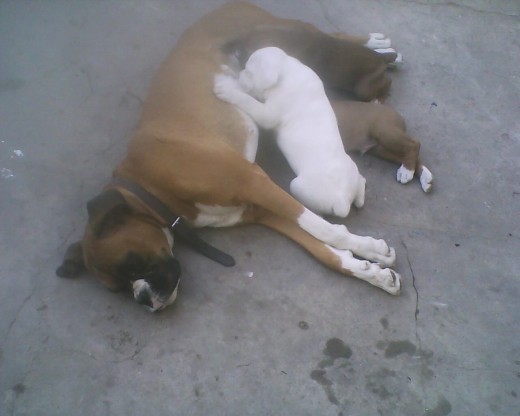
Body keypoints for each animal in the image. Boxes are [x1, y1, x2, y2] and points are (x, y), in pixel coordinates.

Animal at [213, 47, 368, 218]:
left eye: (248, 71)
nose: (239, 75)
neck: (287, 70)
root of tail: (342, 201)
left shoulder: (268, 114)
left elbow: (249, 101)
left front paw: (228, 91)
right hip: (352, 169)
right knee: (361, 180)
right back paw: (360, 196)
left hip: (298, 186)